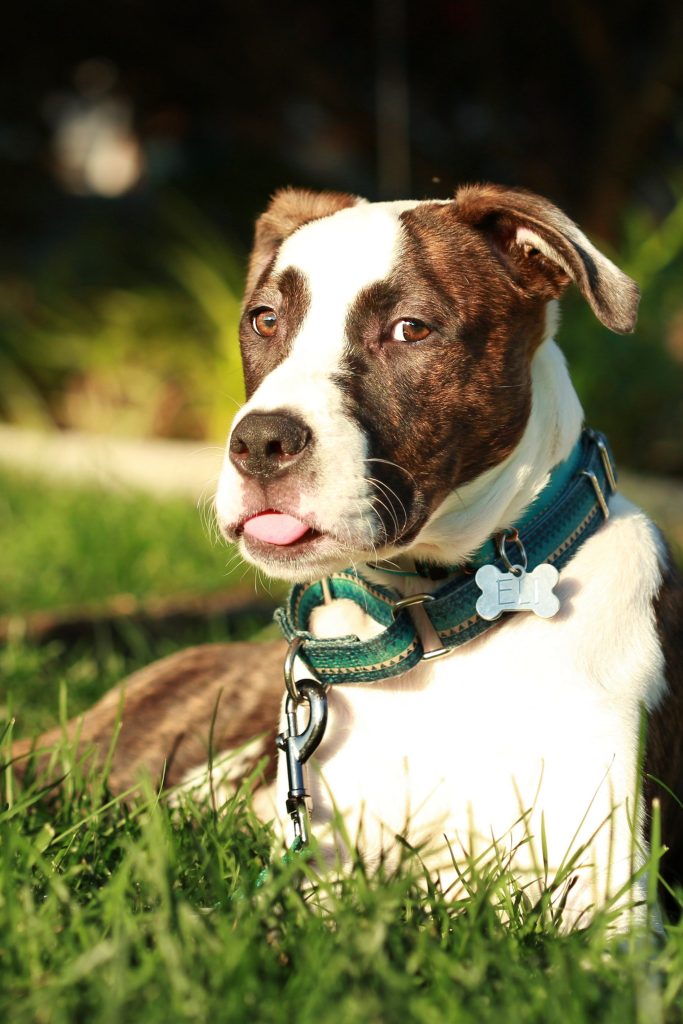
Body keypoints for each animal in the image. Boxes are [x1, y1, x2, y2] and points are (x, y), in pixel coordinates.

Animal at [12, 184, 683, 929]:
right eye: (264, 320)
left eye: (411, 329)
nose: (259, 442)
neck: (429, 621)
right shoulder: (316, 883)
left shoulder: (612, 905)